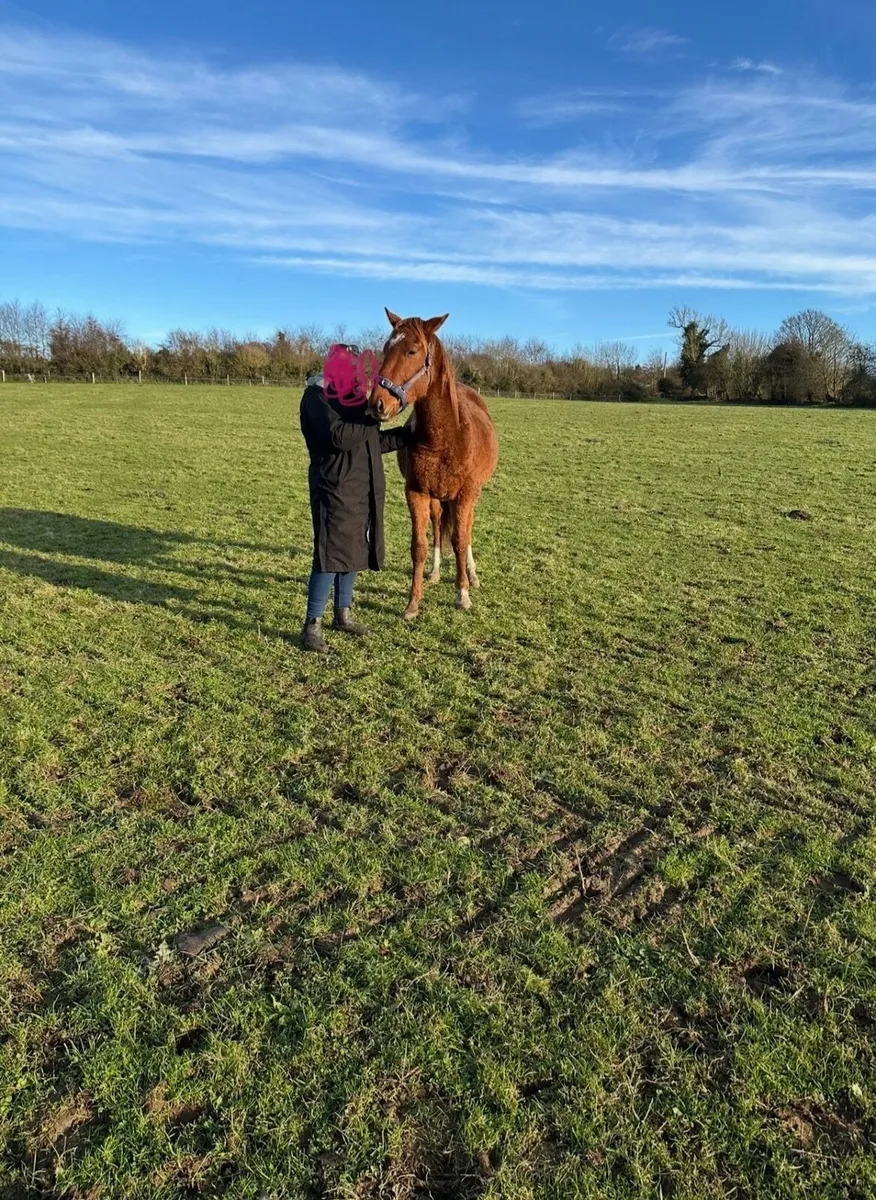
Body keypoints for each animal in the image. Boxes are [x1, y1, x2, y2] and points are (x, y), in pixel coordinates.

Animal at [369, 309, 499, 619]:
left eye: (412, 351)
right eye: (386, 348)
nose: (377, 404)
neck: (444, 437)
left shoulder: (465, 494)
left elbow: (461, 540)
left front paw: (462, 594)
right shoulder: (417, 492)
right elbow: (419, 546)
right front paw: (412, 603)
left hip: (469, 496)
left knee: (466, 530)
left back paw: (471, 575)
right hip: (438, 498)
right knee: (439, 525)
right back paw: (436, 572)